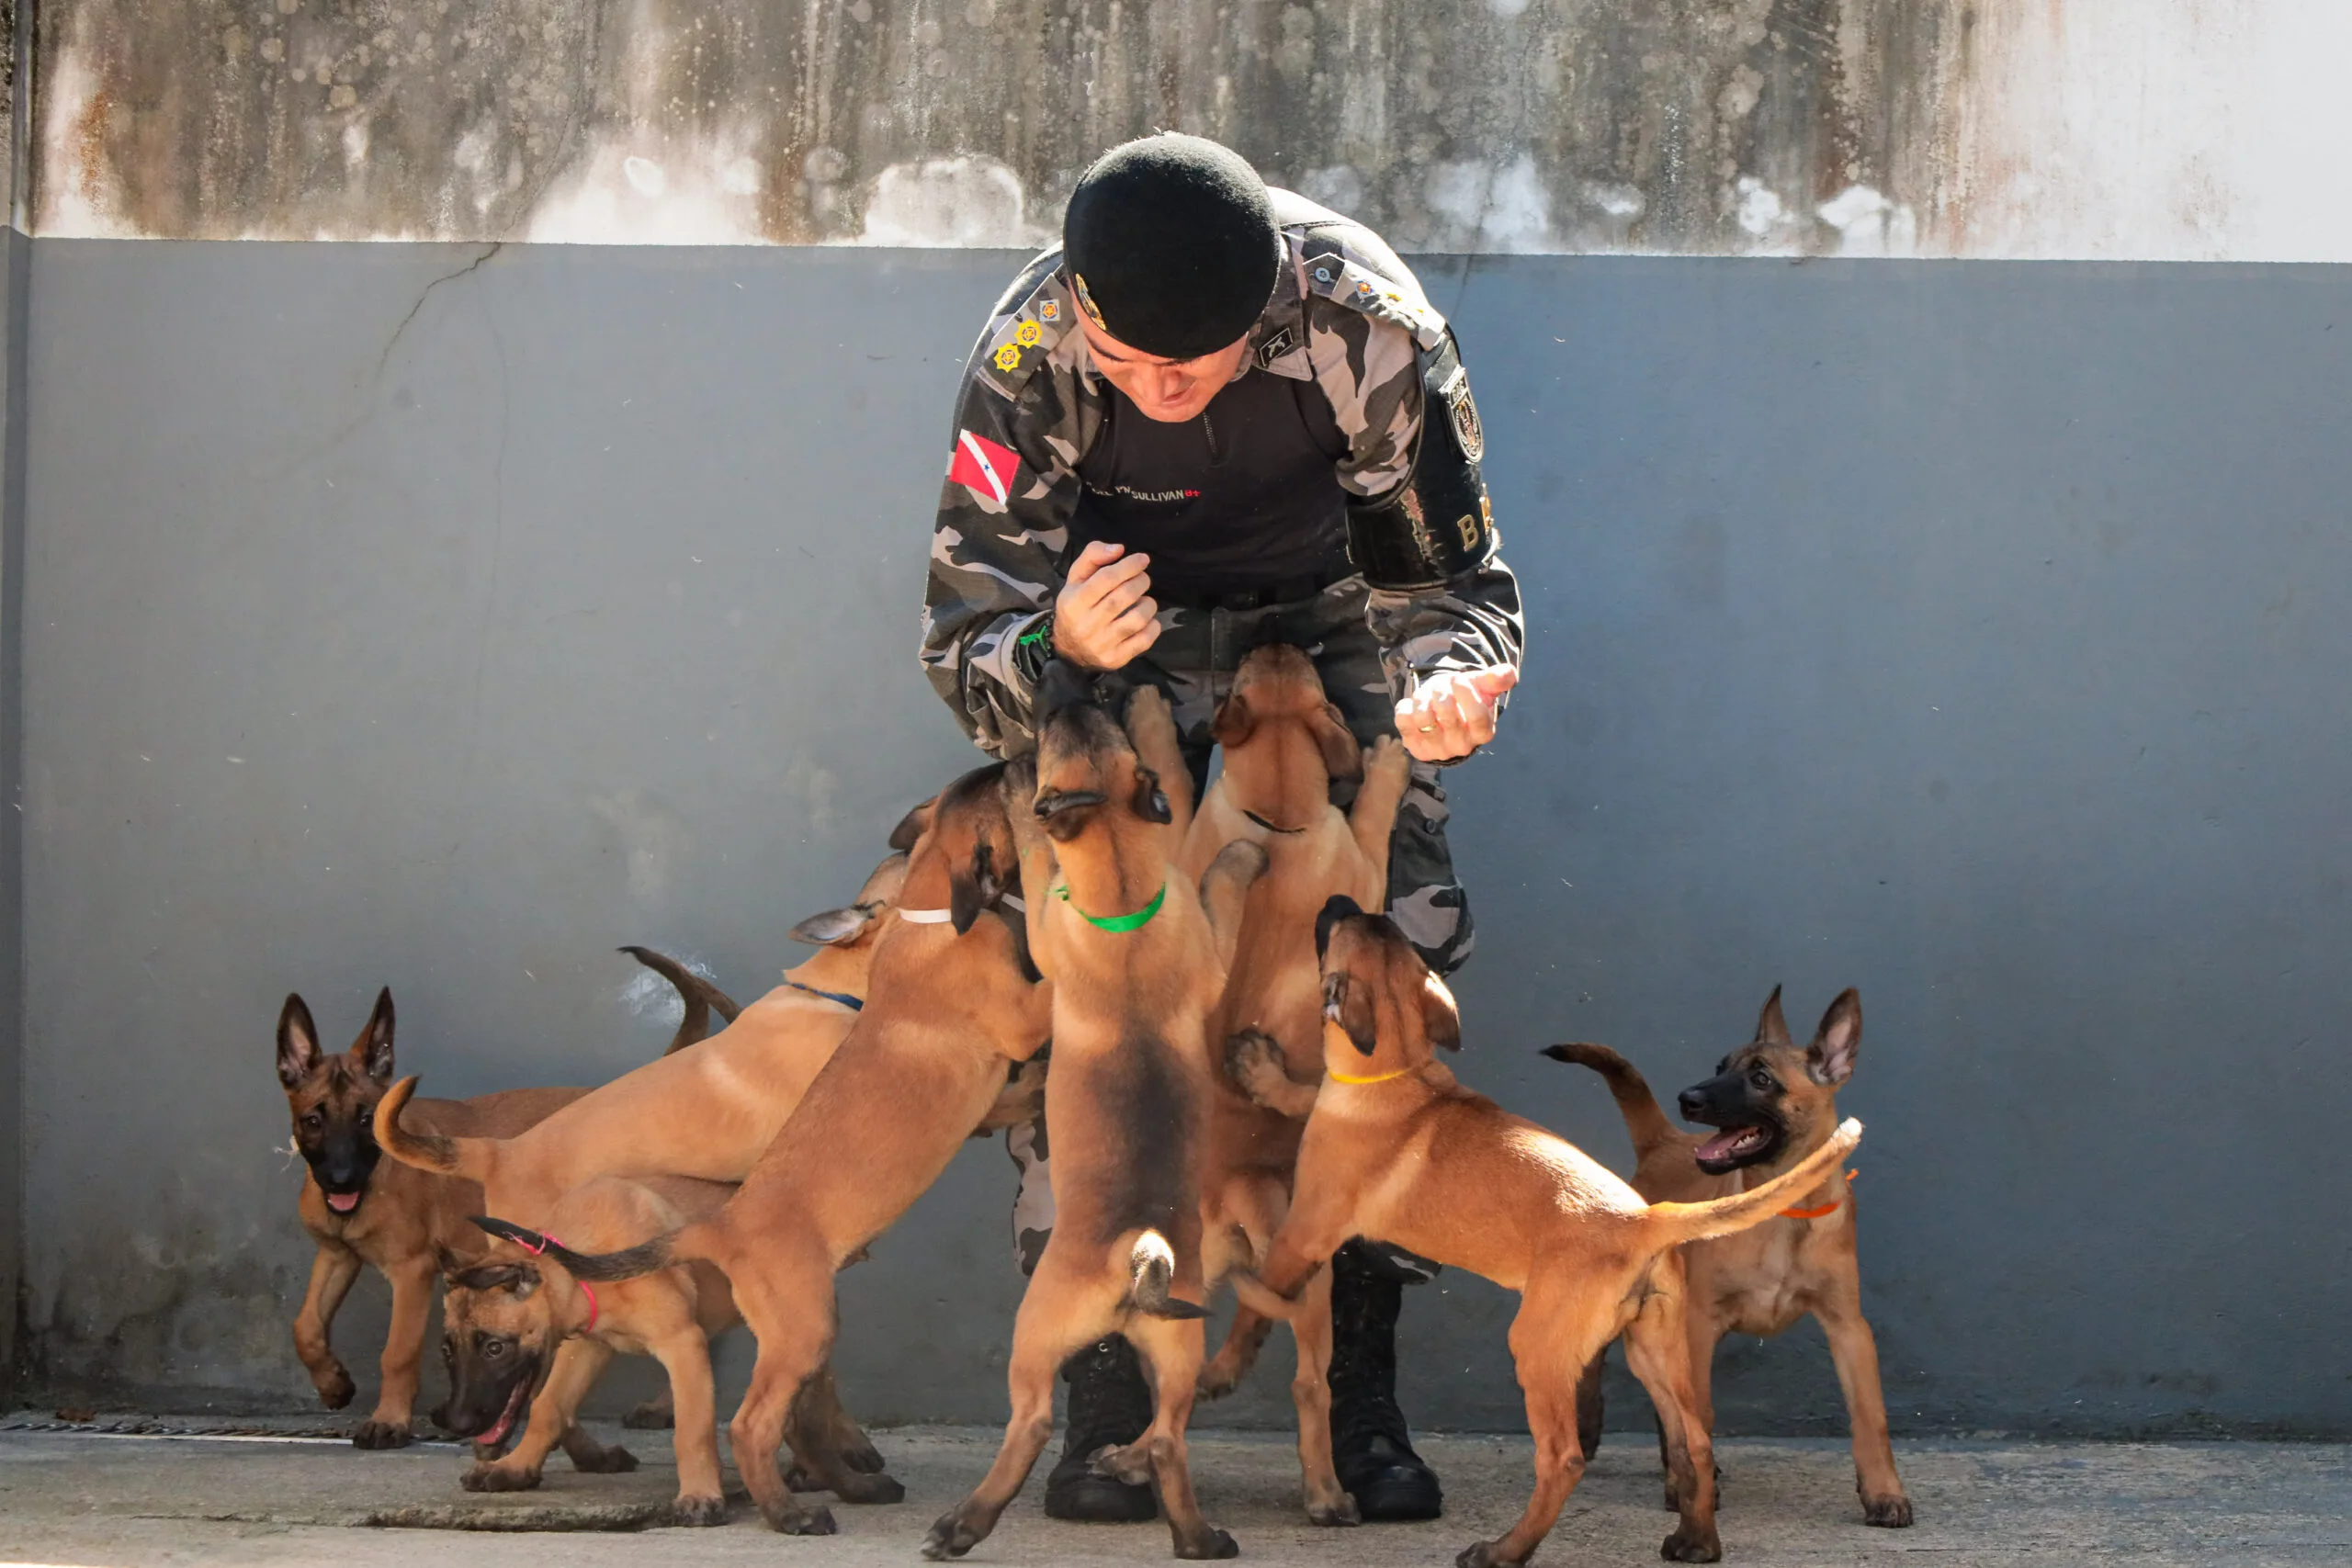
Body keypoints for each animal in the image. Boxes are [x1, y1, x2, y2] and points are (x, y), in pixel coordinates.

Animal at [1232, 902, 1853, 1568]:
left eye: (1340, 933)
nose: (1342, 901)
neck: (1399, 1071)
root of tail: (1645, 1218)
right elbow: (1303, 1091)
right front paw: (1264, 1072)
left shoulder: (1303, 1233)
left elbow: (1254, 1304)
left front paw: (1221, 1370)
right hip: (1653, 1350)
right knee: (1697, 1445)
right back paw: (1697, 1540)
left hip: (1538, 1348)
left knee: (1563, 1457)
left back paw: (1506, 1548)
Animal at [1552, 987, 1918, 1523]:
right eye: (1719, 1066)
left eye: (1761, 1079)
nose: (1687, 1098)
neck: (1783, 1210)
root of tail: (1664, 1142)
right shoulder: (1700, 1324)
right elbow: (1697, 1413)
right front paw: (1693, 1487)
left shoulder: (1849, 1328)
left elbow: (1870, 1417)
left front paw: (1884, 1493)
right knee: (1604, 1370)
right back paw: (1595, 1432)